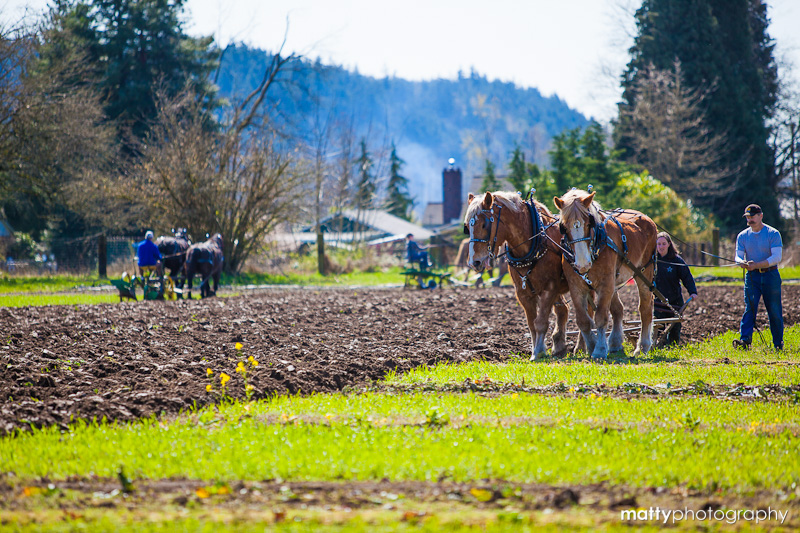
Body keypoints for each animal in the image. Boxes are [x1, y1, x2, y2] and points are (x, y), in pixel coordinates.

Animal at [466, 189, 580, 360]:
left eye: (485, 224)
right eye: (467, 226)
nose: (475, 262)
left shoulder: (549, 289)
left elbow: (541, 322)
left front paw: (538, 352)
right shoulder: (522, 293)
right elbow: (532, 323)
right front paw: (537, 350)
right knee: (563, 309)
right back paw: (559, 346)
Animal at [552, 189, 660, 360]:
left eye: (588, 223)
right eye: (563, 227)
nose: (583, 264)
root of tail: (646, 218)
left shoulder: (605, 284)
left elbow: (601, 317)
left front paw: (600, 349)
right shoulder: (576, 286)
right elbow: (583, 320)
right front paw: (591, 346)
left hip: (643, 272)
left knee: (645, 307)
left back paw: (642, 346)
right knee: (618, 309)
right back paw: (615, 343)